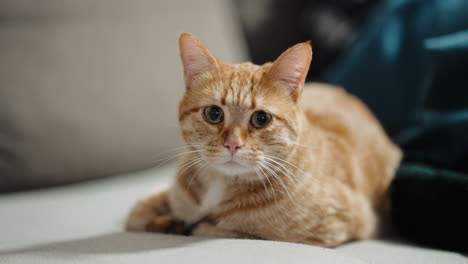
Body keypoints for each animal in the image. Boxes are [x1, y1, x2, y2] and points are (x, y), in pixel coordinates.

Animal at [127, 33, 402, 248]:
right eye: (214, 113)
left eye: (261, 118)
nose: (233, 145)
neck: (219, 185)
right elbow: (139, 212)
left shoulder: (334, 227)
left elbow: (224, 229)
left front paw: (184, 224)